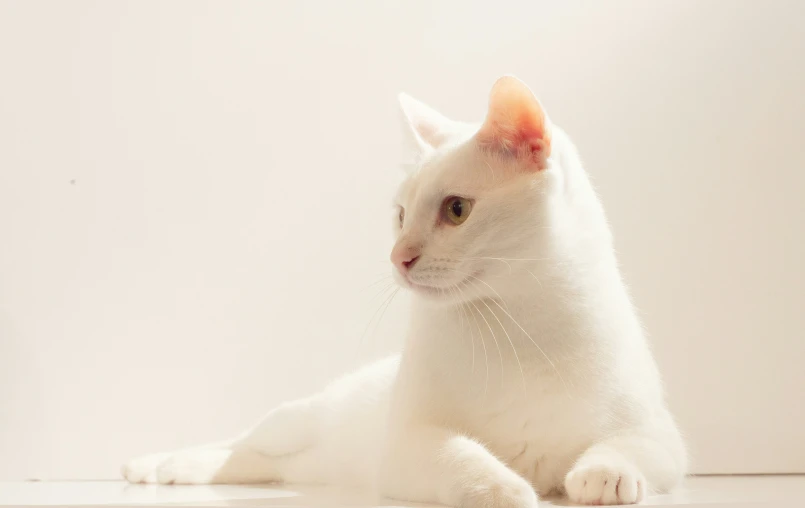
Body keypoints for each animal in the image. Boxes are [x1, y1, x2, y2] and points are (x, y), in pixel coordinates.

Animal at [124, 76, 684, 508]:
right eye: (400, 215)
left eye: (456, 210)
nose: (398, 257)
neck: (515, 326)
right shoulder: (407, 443)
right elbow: (461, 455)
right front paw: (504, 487)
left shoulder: (663, 435)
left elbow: (630, 445)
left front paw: (603, 474)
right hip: (293, 420)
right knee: (239, 441)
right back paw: (158, 464)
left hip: (296, 458)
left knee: (253, 461)